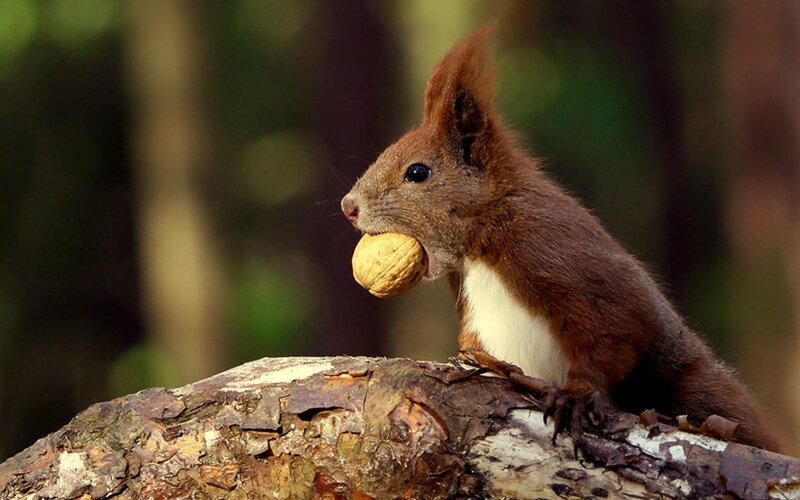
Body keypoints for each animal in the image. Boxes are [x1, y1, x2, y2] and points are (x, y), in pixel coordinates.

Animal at [340, 26, 780, 452]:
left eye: (417, 173)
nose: (348, 206)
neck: (481, 242)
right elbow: (476, 350)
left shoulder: (552, 253)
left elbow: (612, 330)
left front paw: (578, 396)